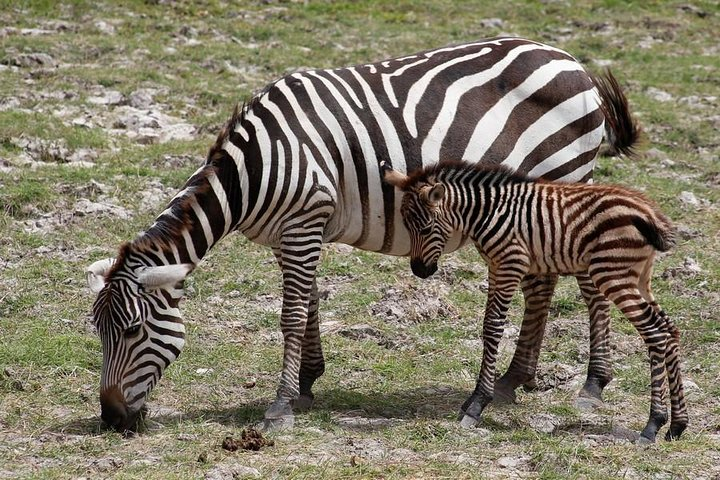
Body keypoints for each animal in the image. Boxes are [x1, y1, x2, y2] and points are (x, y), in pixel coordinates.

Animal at [84, 36, 640, 432]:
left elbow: (290, 316)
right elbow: (308, 304)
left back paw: (592, 382)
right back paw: (514, 380)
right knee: (542, 284)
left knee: (583, 285)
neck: (251, 172)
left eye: (132, 331)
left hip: (566, 178)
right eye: (99, 332)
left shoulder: (304, 221)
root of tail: (572, 62)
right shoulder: (294, 232)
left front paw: (281, 404)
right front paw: (307, 382)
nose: (111, 420)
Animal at [382, 160, 688, 442]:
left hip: (613, 274)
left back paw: (652, 425)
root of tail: (648, 212)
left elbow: (492, 328)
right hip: (639, 278)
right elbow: (488, 326)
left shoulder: (510, 264)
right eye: (406, 225)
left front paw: (477, 404)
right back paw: (677, 425)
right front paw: (473, 400)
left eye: (425, 227)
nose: (420, 271)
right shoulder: (495, 267)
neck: (487, 213)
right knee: (669, 330)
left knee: (655, 332)